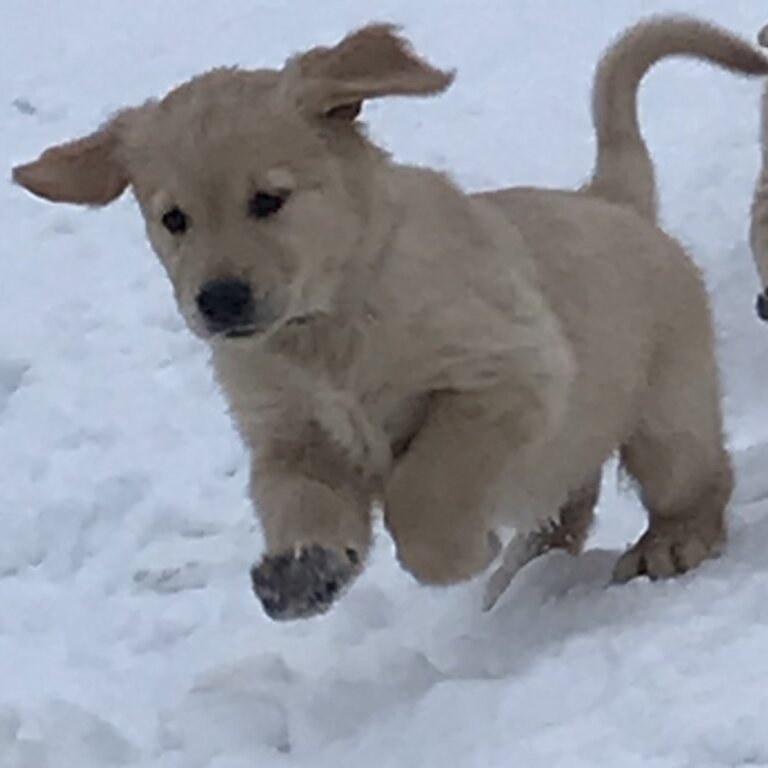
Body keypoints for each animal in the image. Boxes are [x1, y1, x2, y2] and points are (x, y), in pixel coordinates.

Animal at [12, 16, 768, 616]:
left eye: (268, 200)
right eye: (174, 219)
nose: (219, 300)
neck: (326, 326)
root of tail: (609, 198)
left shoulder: (503, 375)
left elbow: (422, 493)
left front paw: (460, 552)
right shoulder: (288, 435)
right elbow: (296, 500)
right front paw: (303, 571)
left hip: (667, 415)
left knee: (697, 477)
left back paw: (667, 543)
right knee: (570, 500)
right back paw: (519, 574)